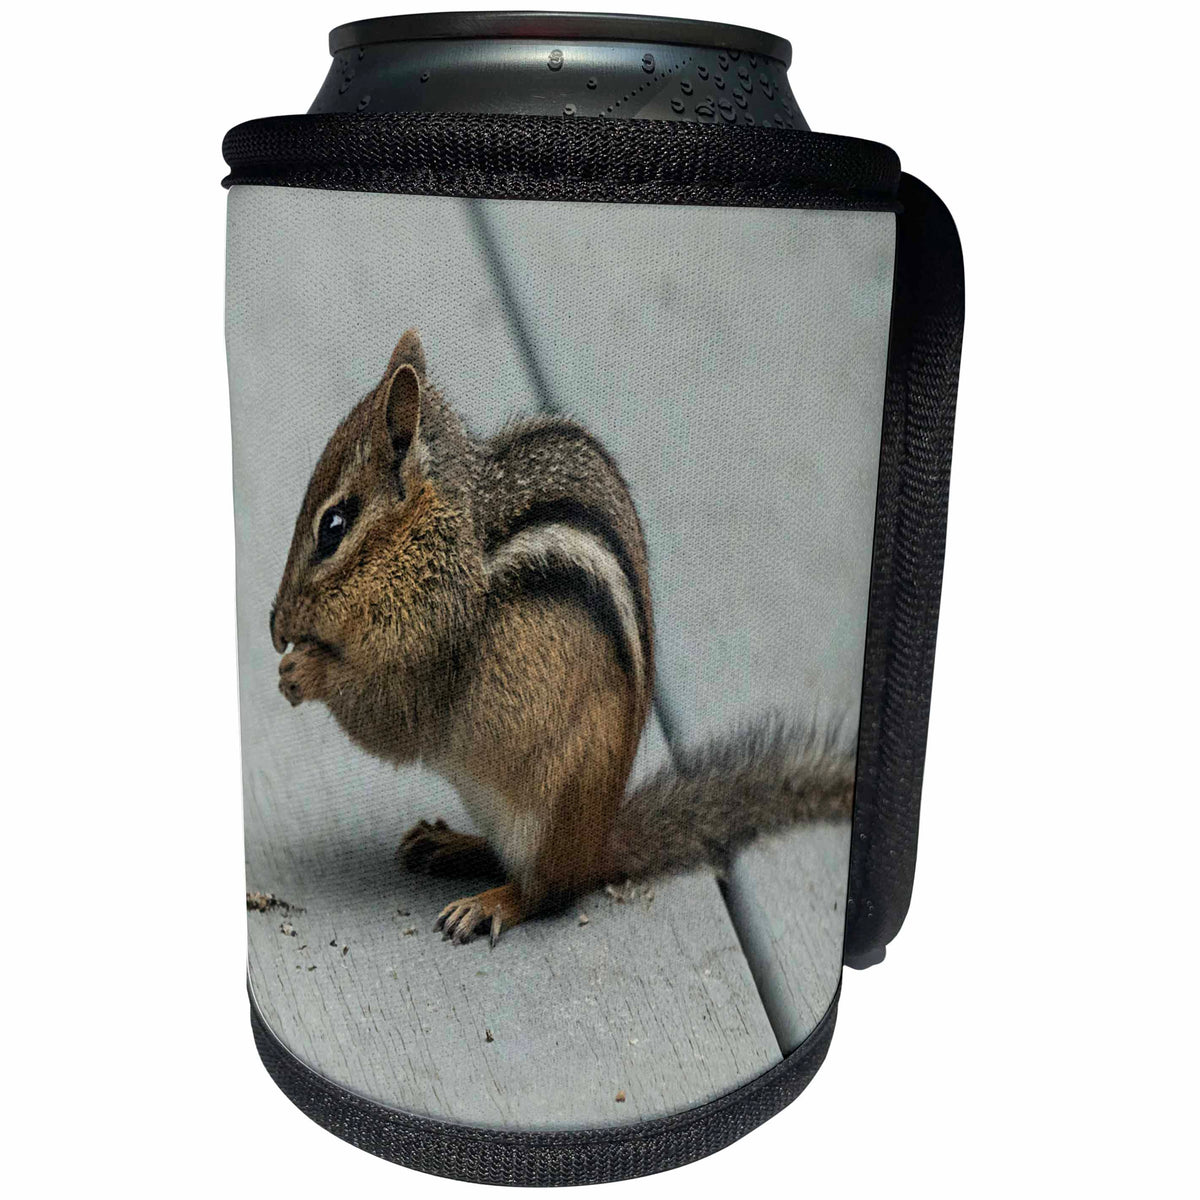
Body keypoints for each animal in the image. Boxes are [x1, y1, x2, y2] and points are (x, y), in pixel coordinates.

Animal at [271, 330, 854, 946]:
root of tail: (597, 846)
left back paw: (491, 902)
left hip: (549, 805)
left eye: (334, 526)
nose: (275, 628)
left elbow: (389, 720)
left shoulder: (434, 645)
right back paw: (452, 844)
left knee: (547, 892)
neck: (438, 539)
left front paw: (304, 671)